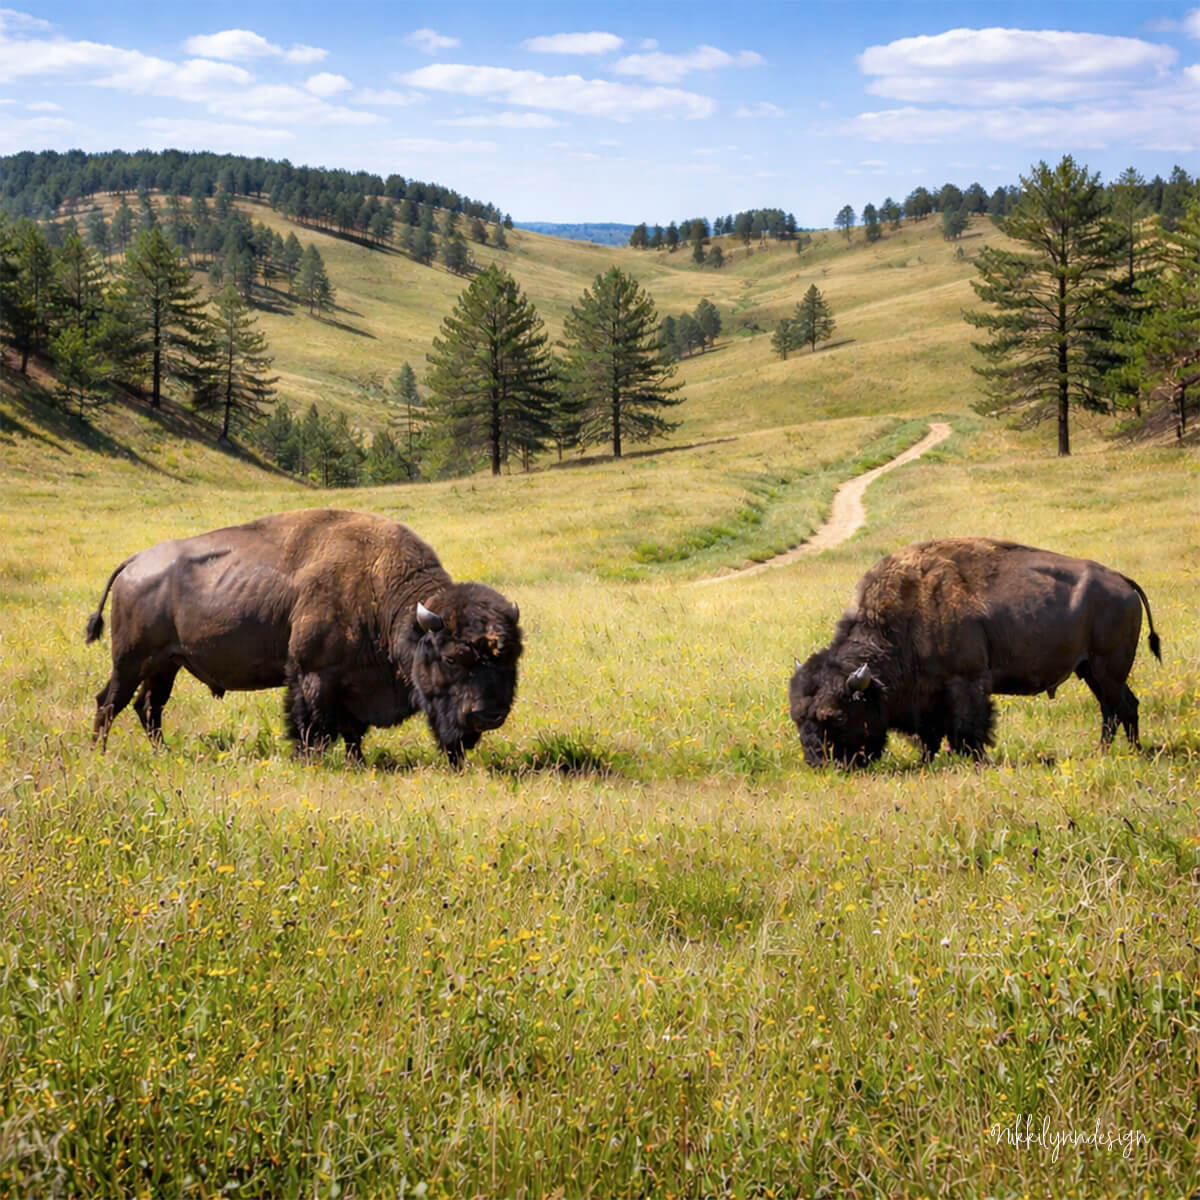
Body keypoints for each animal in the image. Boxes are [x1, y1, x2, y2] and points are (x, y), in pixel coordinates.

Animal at [86, 508, 523, 764]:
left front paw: (357, 762)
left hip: (166, 664)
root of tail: (135, 562)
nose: (489, 714)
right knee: (110, 702)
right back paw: (98, 754)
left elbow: (352, 731)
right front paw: (308, 761)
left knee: (148, 707)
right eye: (451, 657)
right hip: (131, 660)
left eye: (512, 658)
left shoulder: (352, 684)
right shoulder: (314, 675)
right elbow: (312, 725)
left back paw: (163, 753)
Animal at [789, 538, 1161, 767]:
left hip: (1106, 669)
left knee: (1118, 708)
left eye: (836, 716)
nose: (818, 763)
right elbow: (930, 735)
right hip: (1092, 671)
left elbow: (969, 727)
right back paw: (1117, 751)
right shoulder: (929, 699)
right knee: (1118, 708)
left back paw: (1121, 752)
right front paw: (927, 761)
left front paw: (974, 759)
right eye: (797, 718)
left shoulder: (966, 681)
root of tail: (1123, 582)